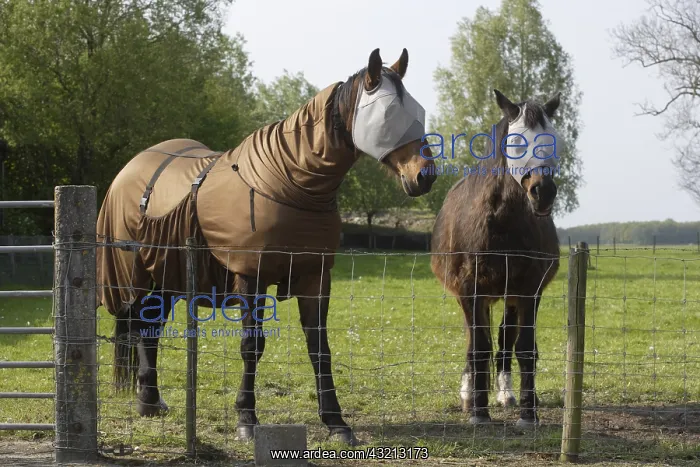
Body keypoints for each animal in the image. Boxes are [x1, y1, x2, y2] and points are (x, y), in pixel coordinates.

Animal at [95, 48, 437, 446]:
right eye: (388, 112)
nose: (425, 176)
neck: (290, 182)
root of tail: (130, 169)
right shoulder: (250, 276)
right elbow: (252, 345)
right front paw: (246, 419)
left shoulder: (315, 277)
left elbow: (320, 349)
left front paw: (336, 423)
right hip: (135, 274)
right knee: (141, 322)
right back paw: (148, 399)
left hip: (167, 274)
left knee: (150, 323)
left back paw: (149, 399)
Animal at [429, 89, 562, 427]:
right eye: (515, 141)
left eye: (553, 138)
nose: (543, 192)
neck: (500, 221)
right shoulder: (470, 291)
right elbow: (478, 348)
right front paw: (478, 411)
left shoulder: (528, 290)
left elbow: (524, 348)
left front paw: (528, 414)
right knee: (475, 343)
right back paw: (469, 395)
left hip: (509, 296)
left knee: (504, 340)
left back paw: (507, 394)